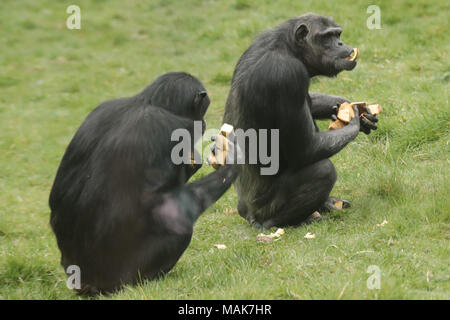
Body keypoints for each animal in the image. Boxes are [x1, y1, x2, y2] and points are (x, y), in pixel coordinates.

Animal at [48, 71, 239, 294]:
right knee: (177, 226)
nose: (204, 122)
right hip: (125, 277)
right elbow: (165, 206)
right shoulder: (173, 128)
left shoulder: (99, 111)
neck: (150, 102)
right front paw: (230, 162)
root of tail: (85, 283)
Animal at [223, 12, 378, 228]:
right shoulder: (288, 75)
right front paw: (354, 118)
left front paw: (355, 109)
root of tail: (246, 212)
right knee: (323, 170)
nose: (340, 43)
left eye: (337, 34)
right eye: (327, 37)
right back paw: (277, 223)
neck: (290, 49)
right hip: (263, 207)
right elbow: (305, 148)